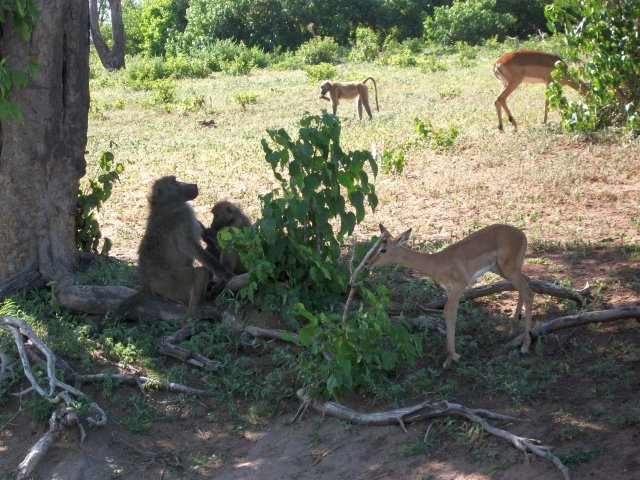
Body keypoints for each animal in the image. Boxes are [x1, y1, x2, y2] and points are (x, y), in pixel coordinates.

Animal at [368, 223, 532, 366]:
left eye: (383, 250)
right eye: (375, 246)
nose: (368, 263)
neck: (438, 262)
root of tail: (522, 234)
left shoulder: (460, 286)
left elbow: (448, 311)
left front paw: (451, 357)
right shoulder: (449, 289)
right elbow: (451, 314)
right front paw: (451, 355)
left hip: (509, 269)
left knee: (528, 293)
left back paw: (525, 345)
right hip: (502, 269)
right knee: (527, 283)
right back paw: (512, 329)